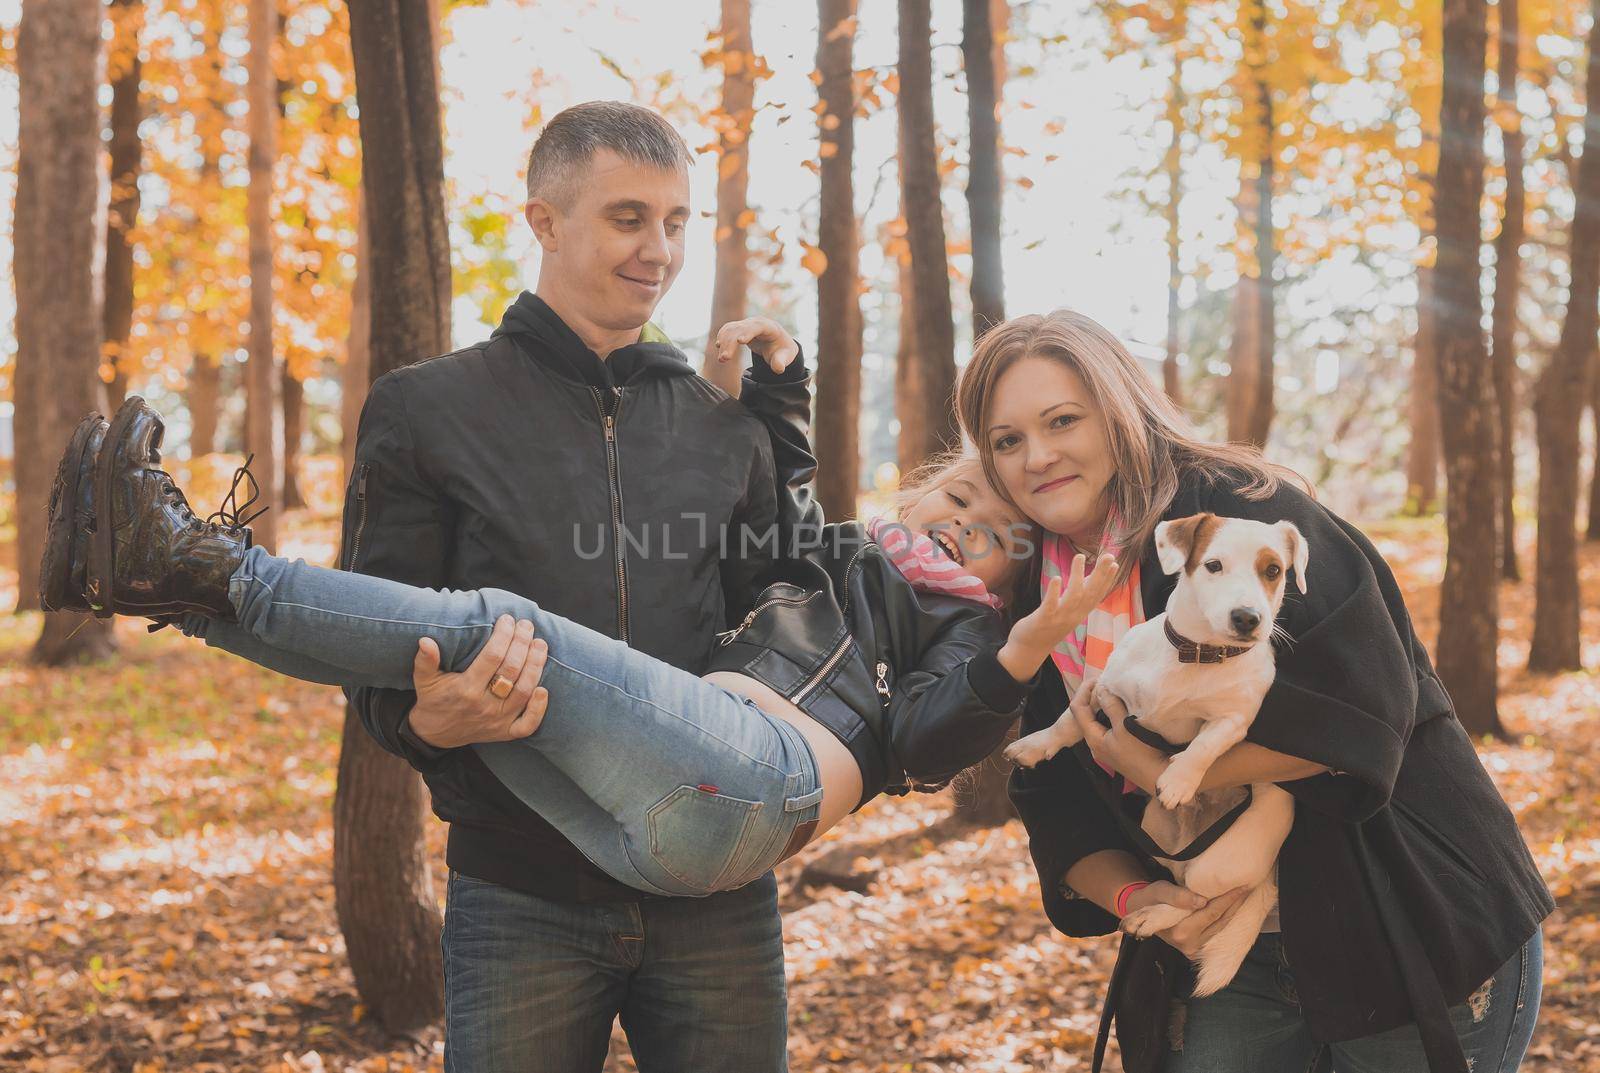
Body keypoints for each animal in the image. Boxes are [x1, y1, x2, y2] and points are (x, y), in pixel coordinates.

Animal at [1011, 514, 1312, 997]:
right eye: (1213, 565)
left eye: (1273, 571)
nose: (1248, 618)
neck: (1198, 655)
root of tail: (1268, 877)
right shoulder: (1105, 688)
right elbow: (1067, 722)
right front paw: (1036, 744)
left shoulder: (1234, 719)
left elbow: (1204, 745)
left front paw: (1179, 779)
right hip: (1154, 827)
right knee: (1174, 876)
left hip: (1217, 865)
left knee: (1195, 901)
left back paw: (1153, 916)